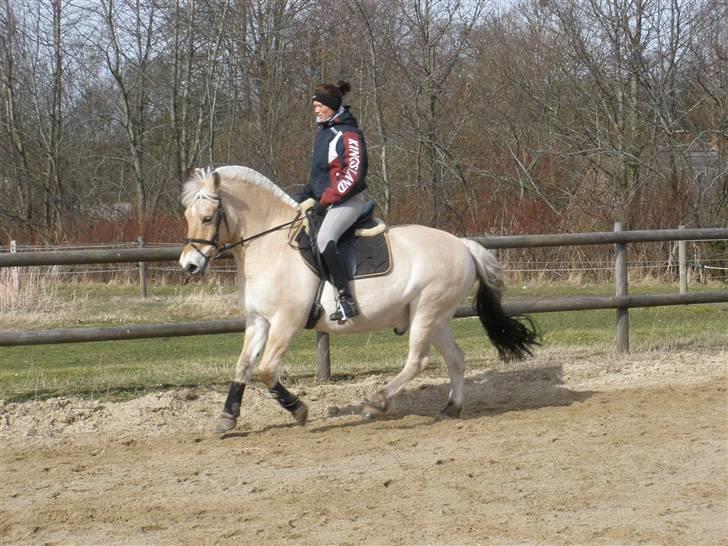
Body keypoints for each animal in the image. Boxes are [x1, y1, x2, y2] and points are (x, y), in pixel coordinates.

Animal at [179, 164, 536, 432]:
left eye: (208, 217)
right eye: (187, 217)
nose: (189, 265)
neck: (272, 245)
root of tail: (463, 245)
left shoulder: (286, 321)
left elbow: (266, 370)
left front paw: (299, 410)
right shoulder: (259, 321)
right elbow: (243, 366)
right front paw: (227, 418)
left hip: (427, 312)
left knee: (418, 361)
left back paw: (375, 403)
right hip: (436, 317)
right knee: (456, 359)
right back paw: (451, 408)